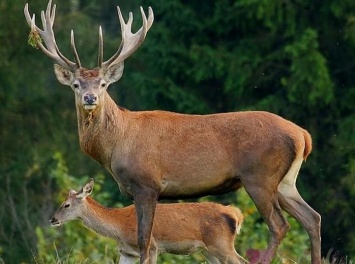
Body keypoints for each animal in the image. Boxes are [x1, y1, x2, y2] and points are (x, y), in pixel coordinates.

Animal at [50, 178, 246, 262]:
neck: (119, 228)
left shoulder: (152, 246)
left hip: (221, 244)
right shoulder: (127, 252)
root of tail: (236, 214)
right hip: (209, 251)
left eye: (66, 205)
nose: (52, 219)